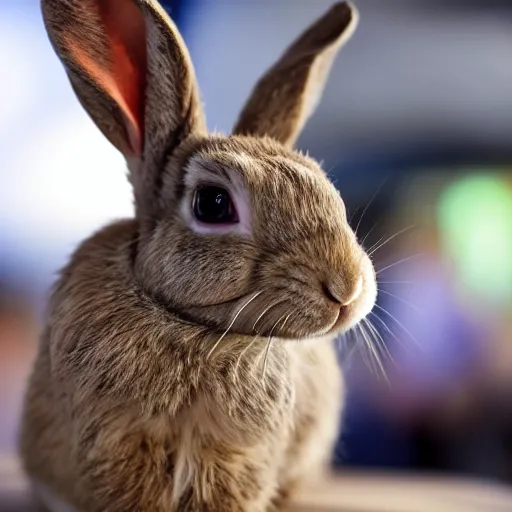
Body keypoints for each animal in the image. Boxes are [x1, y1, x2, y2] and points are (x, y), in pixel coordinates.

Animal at [19, 1, 376, 512]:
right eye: (212, 204)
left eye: (329, 191)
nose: (346, 288)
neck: (193, 329)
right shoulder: (114, 443)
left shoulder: (238, 457)